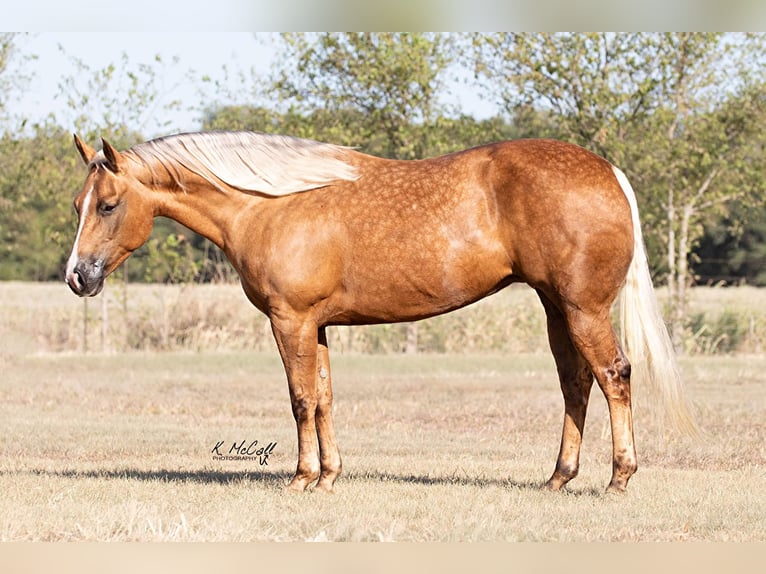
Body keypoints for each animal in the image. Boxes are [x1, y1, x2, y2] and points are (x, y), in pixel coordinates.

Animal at [63, 130, 692, 496]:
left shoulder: (290, 321)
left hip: (582, 308)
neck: (269, 205)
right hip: (555, 307)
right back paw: (559, 478)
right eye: (77, 205)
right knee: (575, 383)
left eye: (109, 205)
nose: (78, 276)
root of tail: (608, 171)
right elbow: (324, 399)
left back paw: (618, 479)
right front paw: (329, 477)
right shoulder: (316, 326)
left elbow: (300, 399)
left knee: (613, 376)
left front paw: (301, 480)